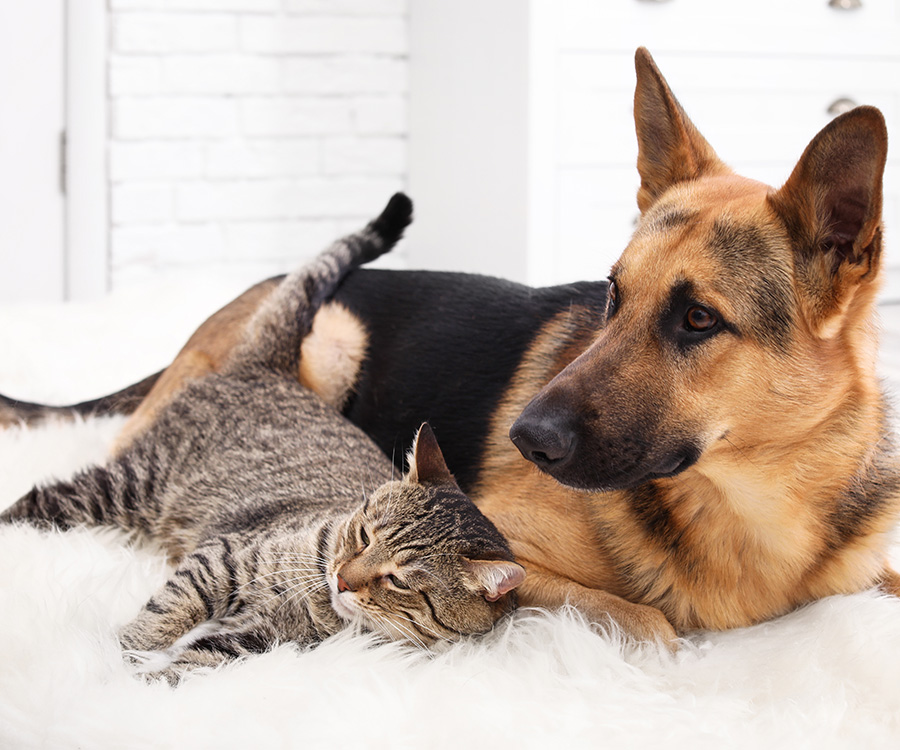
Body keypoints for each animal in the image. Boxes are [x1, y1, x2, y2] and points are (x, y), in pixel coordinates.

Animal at [0, 195, 524, 688]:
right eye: (363, 536)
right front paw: (116, 657)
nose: (342, 579)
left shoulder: (257, 639)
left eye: (397, 580)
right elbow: (163, 615)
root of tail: (271, 366)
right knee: (42, 497)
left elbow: (190, 662)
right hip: (130, 485)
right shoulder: (220, 559)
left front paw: (133, 686)